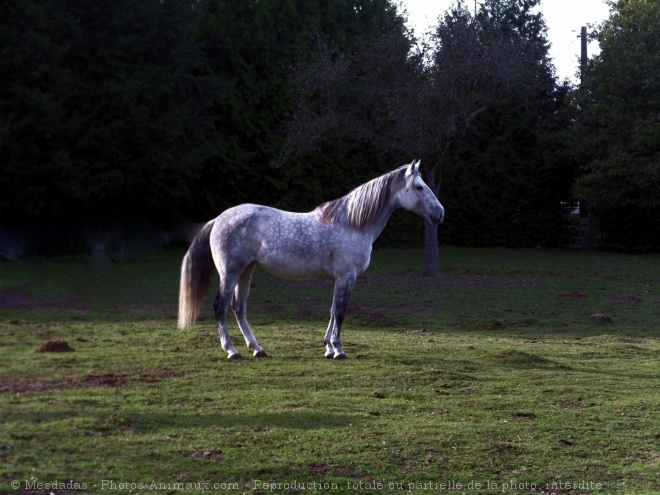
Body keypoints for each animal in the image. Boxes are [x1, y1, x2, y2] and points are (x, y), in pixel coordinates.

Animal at [177, 163, 444, 360]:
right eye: (419, 187)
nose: (440, 214)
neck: (352, 223)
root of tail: (218, 219)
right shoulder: (347, 276)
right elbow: (340, 311)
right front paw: (338, 349)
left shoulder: (340, 278)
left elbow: (332, 311)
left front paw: (328, 347)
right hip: (230, 272)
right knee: (220, 306)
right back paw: (232, 351)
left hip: (246, 271)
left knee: (238, 308)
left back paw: (257, 349)